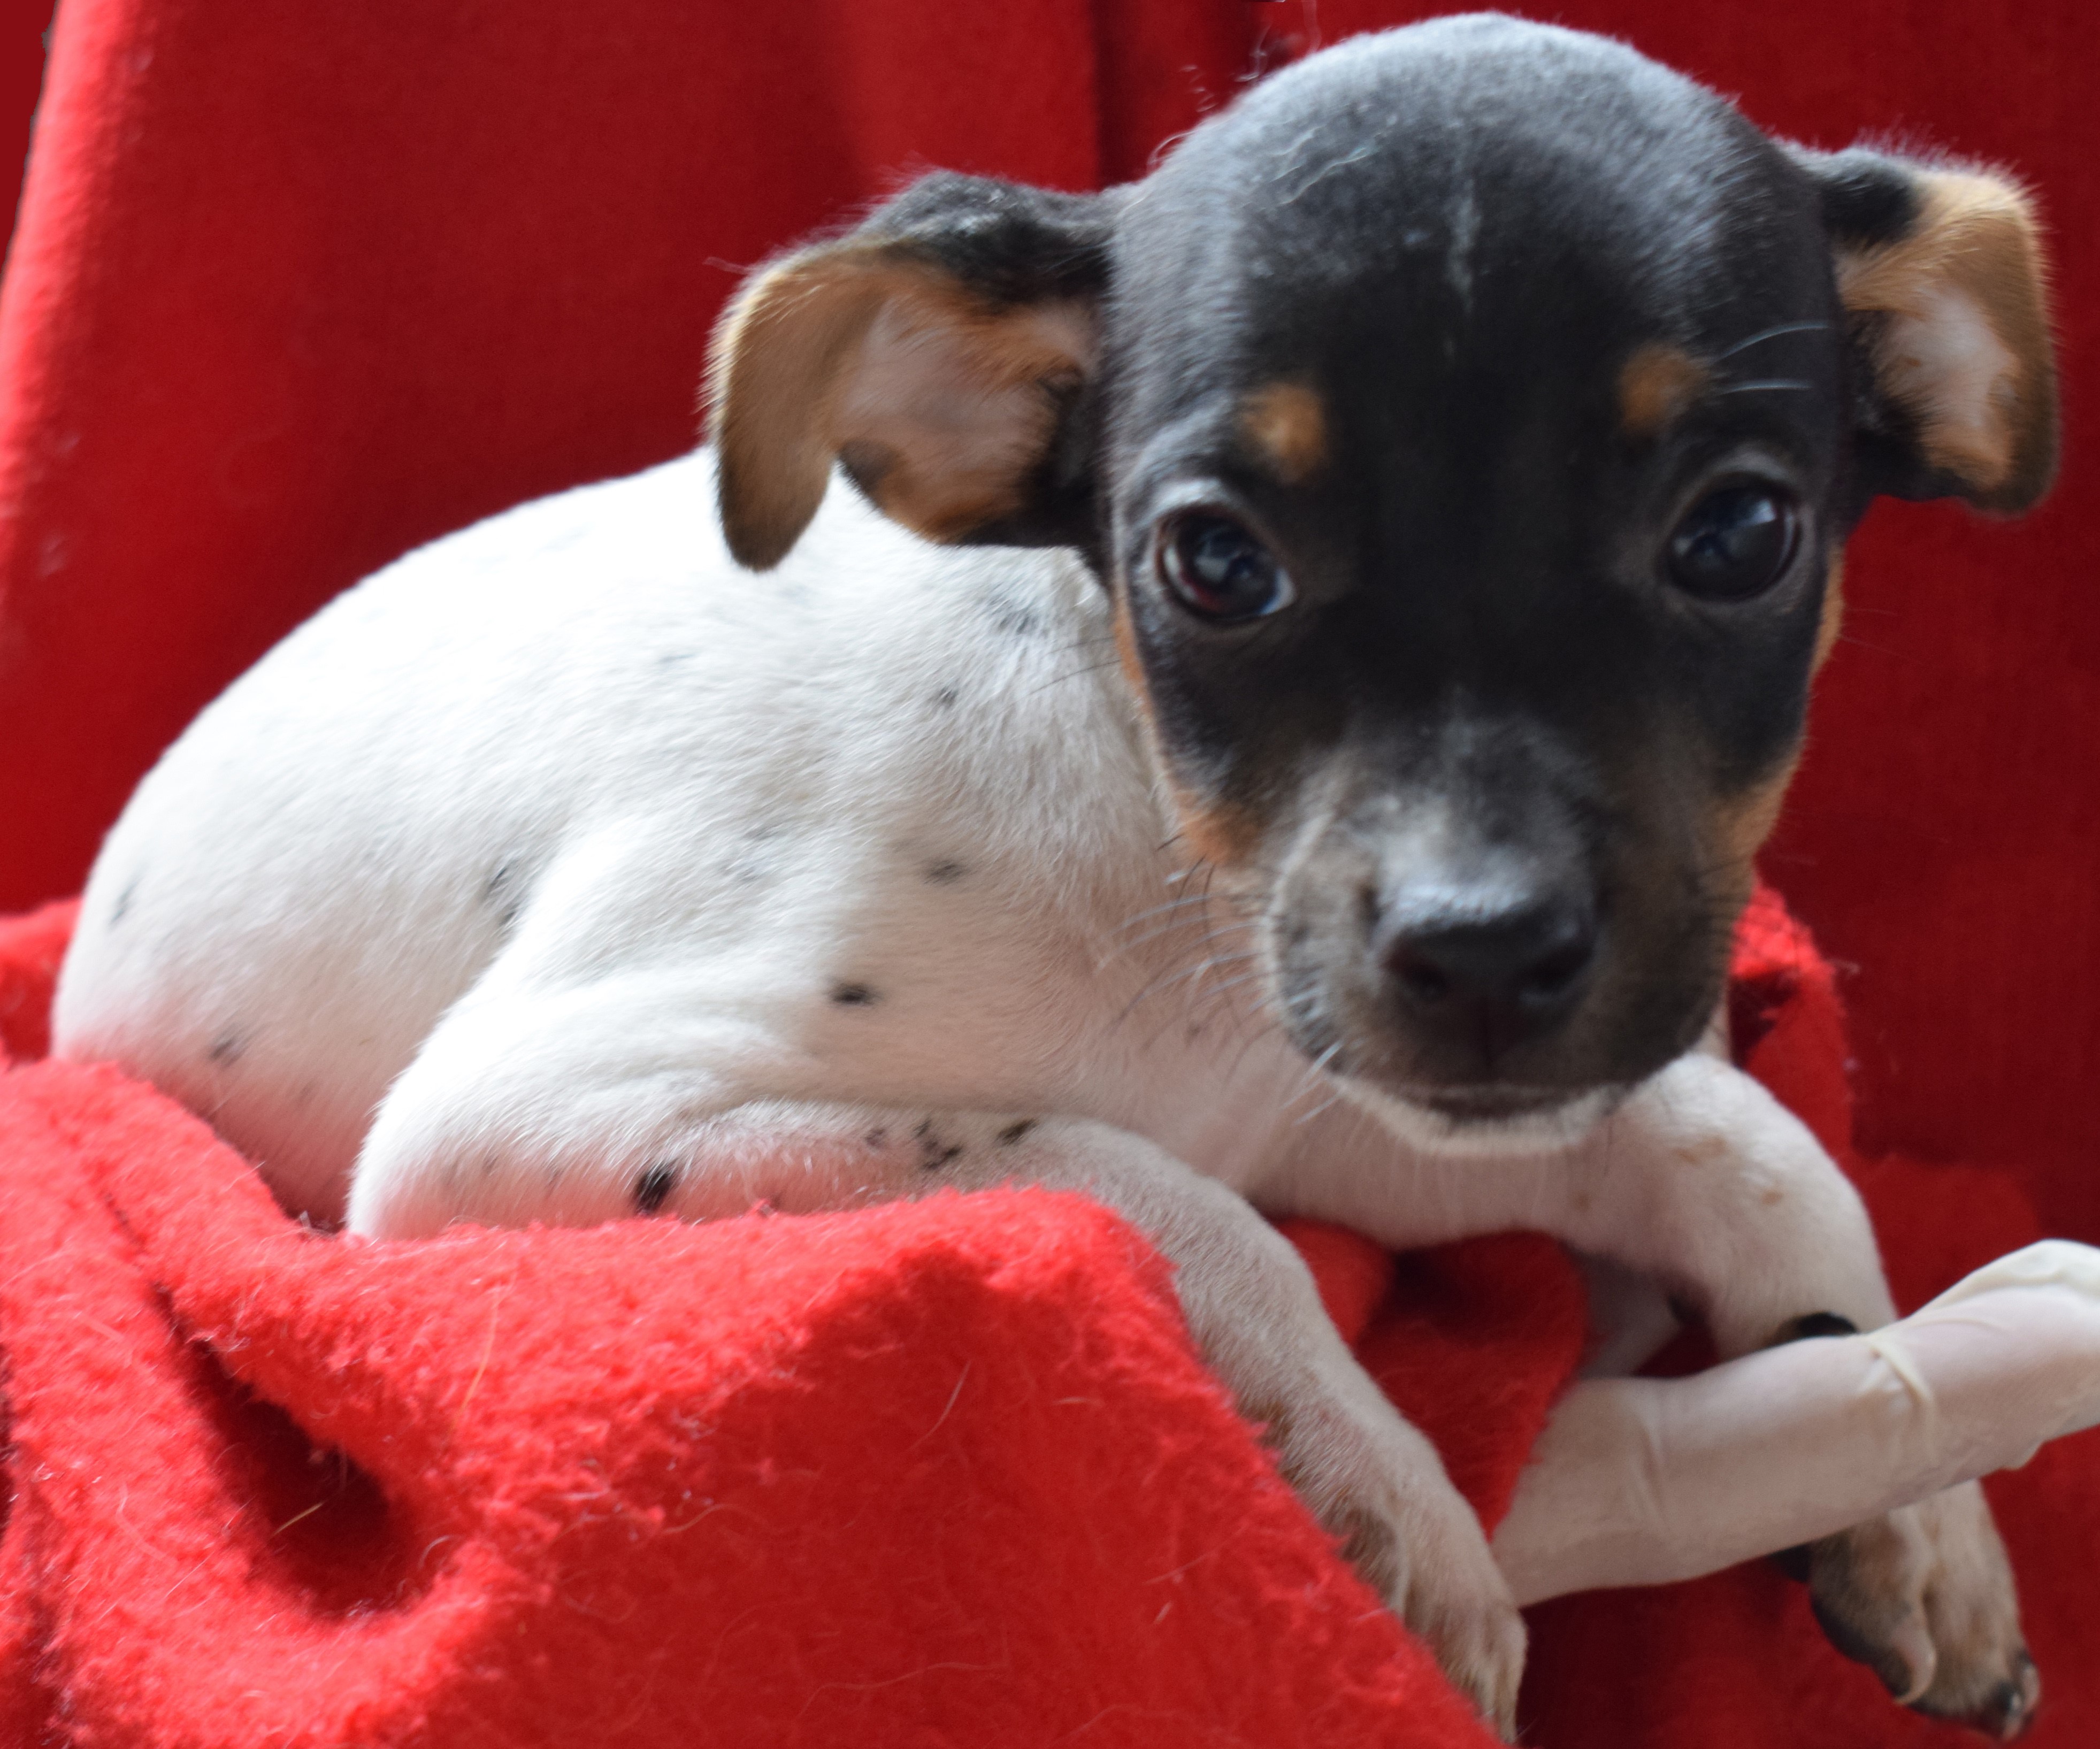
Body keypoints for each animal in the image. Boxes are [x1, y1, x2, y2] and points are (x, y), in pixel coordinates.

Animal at [49, 17, 2049, 1747]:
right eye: (1214, 562)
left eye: (1740, 532)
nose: (1478, 953)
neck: (1157, 867)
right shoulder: (513, 1121)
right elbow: (1116, 1183)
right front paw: (1381, 1495)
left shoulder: (1326, 1094)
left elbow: (1740, 1140)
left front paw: (1926, 1516)